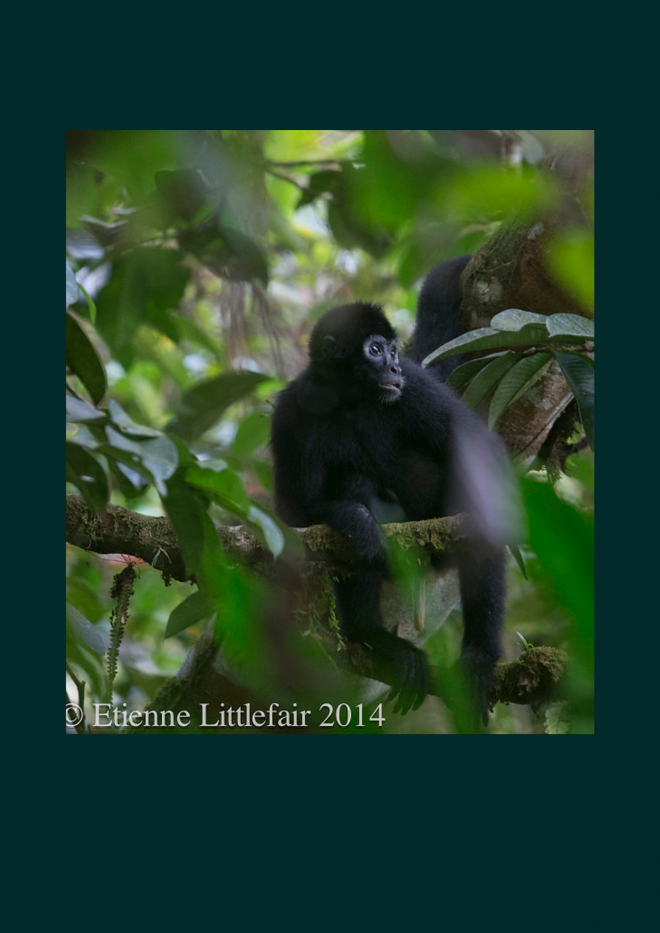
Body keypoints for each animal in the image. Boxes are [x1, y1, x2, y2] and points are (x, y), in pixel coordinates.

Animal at [270, 256, 512, 728]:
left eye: (394, 352)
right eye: (374, 350)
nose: (394, 368)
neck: (350, 402)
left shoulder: (414, 386)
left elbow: (482, 450)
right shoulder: (291, 409)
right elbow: (295, 515)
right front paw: (357, 521)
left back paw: (479, 657)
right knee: (355, 488)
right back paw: (373, 636)